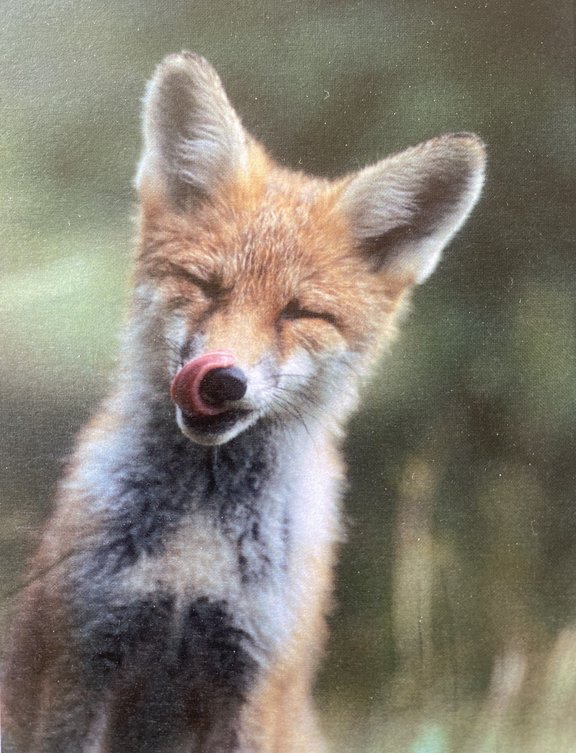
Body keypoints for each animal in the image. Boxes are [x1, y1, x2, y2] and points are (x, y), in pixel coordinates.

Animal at [1, 53, 486, 752]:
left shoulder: (254, 682)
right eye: (205, 285)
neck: (195, 554)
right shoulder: (78, 665)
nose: (221, 381)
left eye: (299, 313)